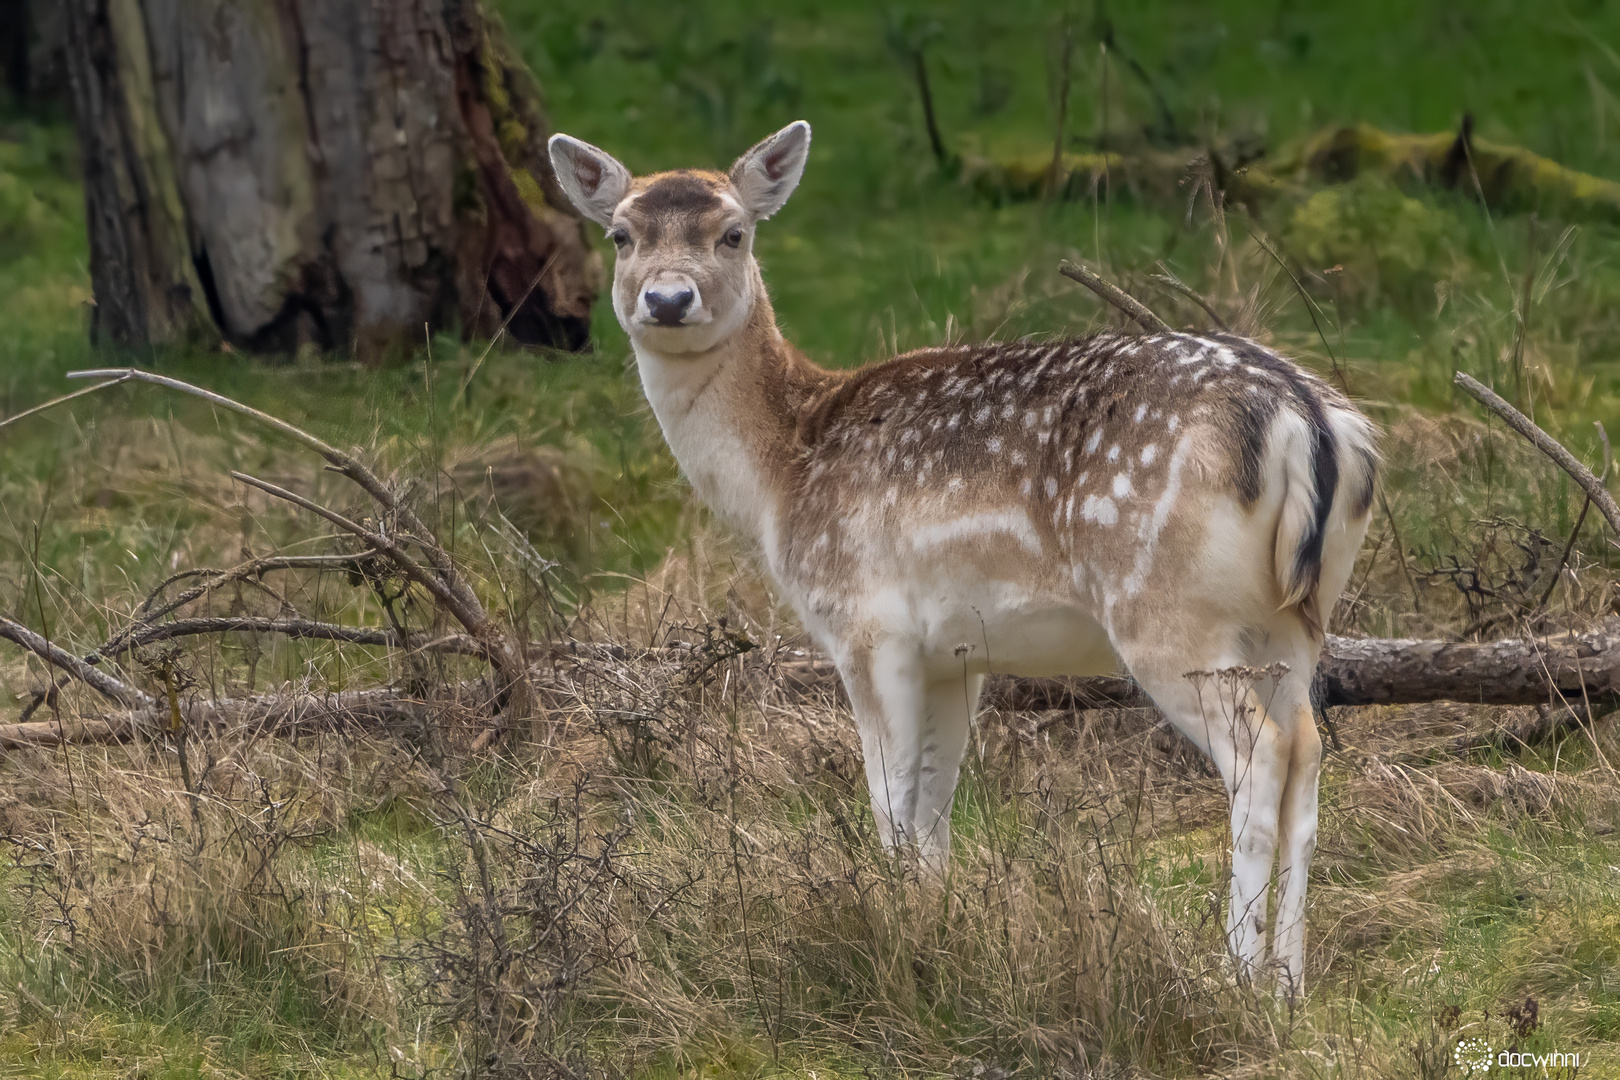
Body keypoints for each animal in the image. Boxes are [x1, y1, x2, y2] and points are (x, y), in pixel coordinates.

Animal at [550, 120, 1373, 997]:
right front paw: (940, 932)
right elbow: (934, 810)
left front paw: (894, 938)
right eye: (621, 235)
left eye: (733, 233)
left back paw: (1235, 979)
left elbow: (890, 805)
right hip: (1298, 618)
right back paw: (1289, 983)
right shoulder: (957, 654)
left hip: (1169, 610)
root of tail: (1309, 420)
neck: (781, 478)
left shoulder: (864, 622)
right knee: (1308, 755)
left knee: (1261, 758)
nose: (668, 300)